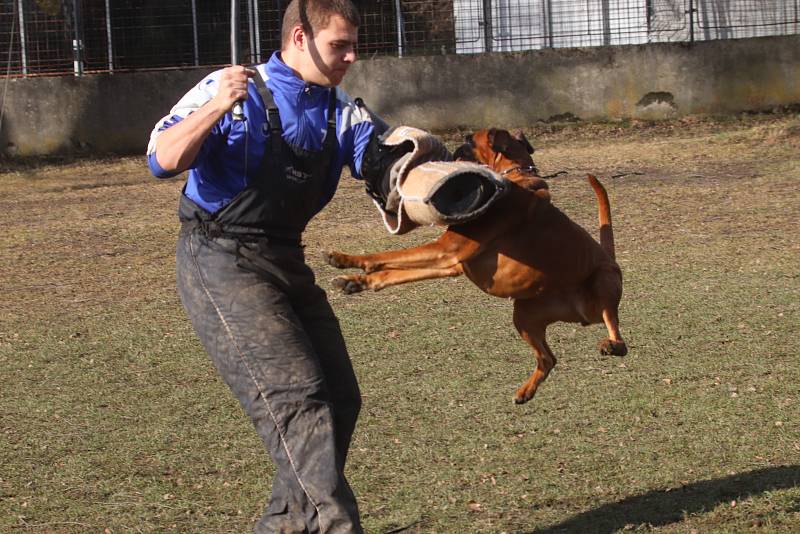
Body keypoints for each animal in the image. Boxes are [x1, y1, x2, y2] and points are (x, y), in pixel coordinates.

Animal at [324, 129, 624, 406]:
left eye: (469, 139)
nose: (455, 144)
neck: (514, 174)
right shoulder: (451, 263)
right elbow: (392, 270)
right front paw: (355, 281)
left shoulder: (446, 250)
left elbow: (387, 255)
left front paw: (344, 258)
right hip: (524, 314)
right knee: (548, 358)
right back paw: (526, 391)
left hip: (603, 282)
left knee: (619, 336)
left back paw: (611, 344)